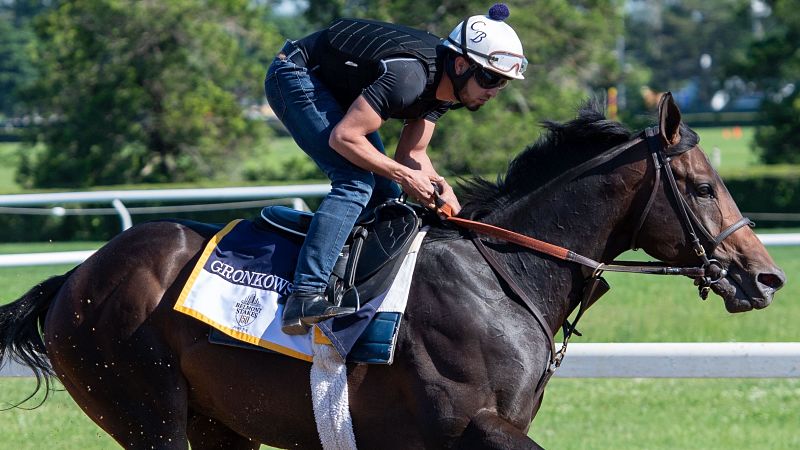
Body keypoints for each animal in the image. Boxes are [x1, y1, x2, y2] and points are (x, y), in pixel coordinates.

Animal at [0, 93, 785, 449]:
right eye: (704, 186)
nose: (766, 277)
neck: (503, 275)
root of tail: (73, 280)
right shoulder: (468, 423)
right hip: (147, 414)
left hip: (218, 422)